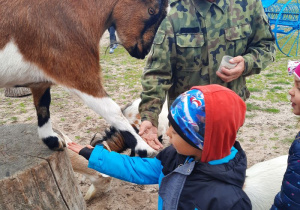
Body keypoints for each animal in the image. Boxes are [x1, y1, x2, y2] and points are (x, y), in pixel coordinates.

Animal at [0, 0, 168, 158]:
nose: (144, 51)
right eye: (151, 10)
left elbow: (43, 106)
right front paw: (145, 149)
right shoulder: (80, 74)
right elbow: (112, 110)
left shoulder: (40, 81)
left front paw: (52, 141)